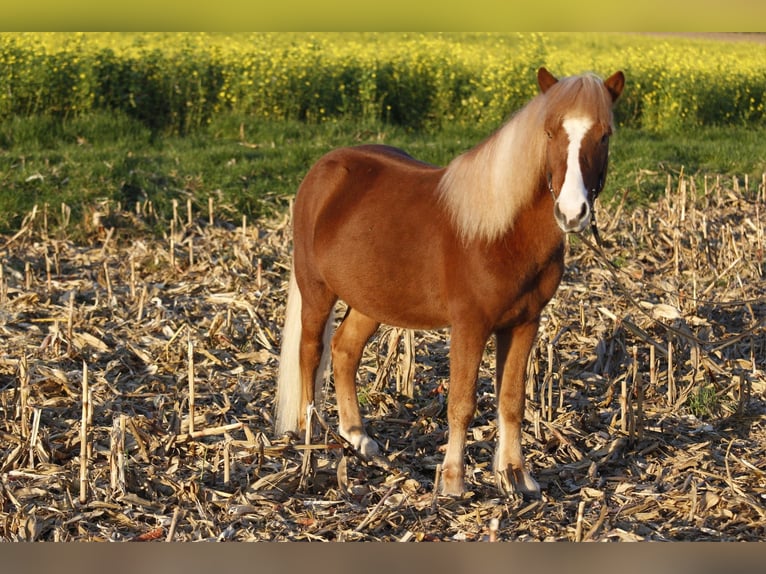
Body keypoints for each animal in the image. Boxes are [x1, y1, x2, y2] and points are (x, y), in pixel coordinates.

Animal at [275, 67, 625, 497]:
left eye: (604, 135)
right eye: (548, 132)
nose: (572, 212)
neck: (502, 233)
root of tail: (323, 169)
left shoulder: (525, 323)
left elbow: (512, 401)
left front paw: (517, 476)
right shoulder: (470, 325)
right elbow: (461, 402)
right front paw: (454, 480)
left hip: (371, 301)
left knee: (344, 350)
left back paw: (358, 437)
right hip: (316, 293)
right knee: (310, 355)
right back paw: (312, 443)